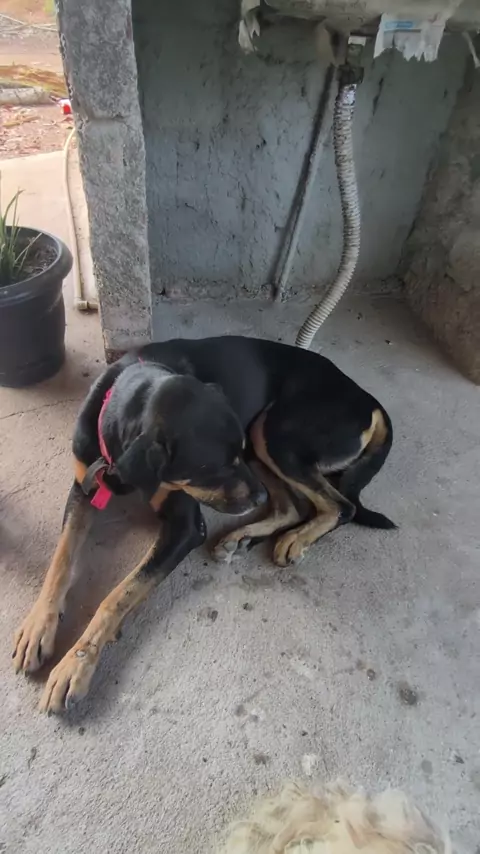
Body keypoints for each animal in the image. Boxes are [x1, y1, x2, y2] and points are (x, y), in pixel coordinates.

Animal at [13, 336, 395, 713]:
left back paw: (296, 539)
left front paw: (75, 666)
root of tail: (367, 398)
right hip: (264, 439)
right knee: (290, 506)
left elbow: (117, 596)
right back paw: (242, 537)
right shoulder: (83, 488)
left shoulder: (185, 527)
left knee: (341, 506)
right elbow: (61, 560)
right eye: (214, 469)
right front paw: (38, 627)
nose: (256, 498)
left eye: (232, 456)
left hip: (273, 435)